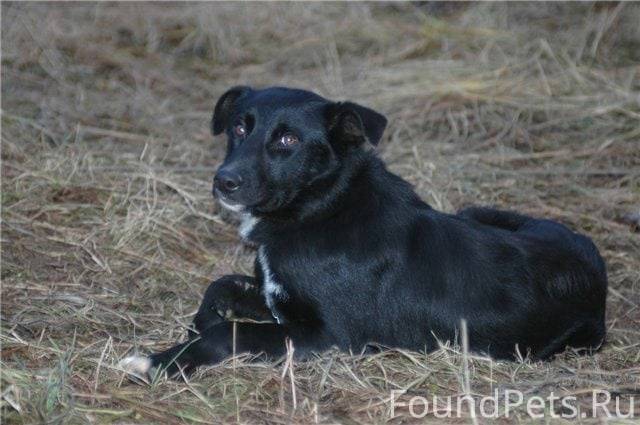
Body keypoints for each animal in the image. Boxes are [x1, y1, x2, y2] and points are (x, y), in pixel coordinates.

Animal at [119, 86, 604, 378]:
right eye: (239, 126)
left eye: (288, 140)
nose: (224, 181)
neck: (321, 208)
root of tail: (593, 258)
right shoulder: (278, 301)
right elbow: (219, 286)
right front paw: (202, 320)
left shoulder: (325, 335)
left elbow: (230, 333)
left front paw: (157, 361)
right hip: (476, 211)